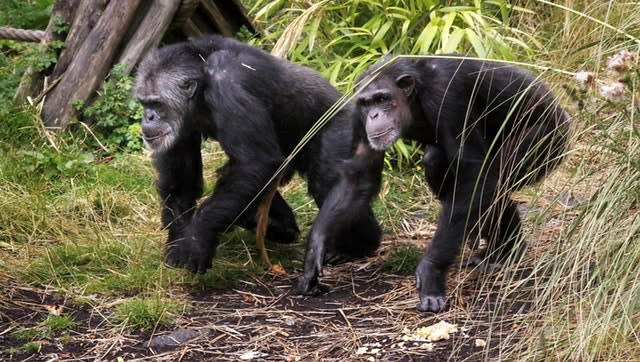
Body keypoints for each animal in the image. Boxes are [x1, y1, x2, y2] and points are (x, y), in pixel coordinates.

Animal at [134, 34, 384, 282]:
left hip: (343, 130)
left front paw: (198, 238)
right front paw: (177, 244)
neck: (202, 77)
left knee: (327, 183)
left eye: (156, 103)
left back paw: (359, 246)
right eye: (144, 103)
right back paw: (278, 226)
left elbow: (255, 162)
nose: (148, 117)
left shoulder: (229, 85)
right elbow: (182, 179)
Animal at [356, 55, 568, 312]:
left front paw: (432, 272)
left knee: (495, 175)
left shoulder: (446, 95)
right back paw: (500, 250)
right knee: (439, 162)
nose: (374, 115)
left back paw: (506, 252)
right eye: (366, 103)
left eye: (382, 99)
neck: (416, 95)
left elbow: (473, 172)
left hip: (547, 139)